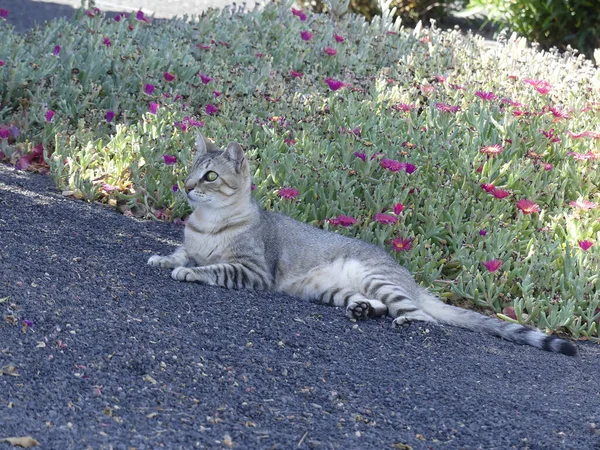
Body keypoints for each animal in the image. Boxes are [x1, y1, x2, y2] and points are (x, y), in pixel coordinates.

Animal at [146, 134, 576, 356]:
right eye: (190, 170)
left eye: (210, 176)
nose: (186, 186)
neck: (207, 224)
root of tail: (411, 279)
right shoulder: (195, 245)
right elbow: (181, 252)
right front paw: (162, 257)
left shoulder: (253, 270)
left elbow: (212, 267)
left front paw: (187, 271)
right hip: (328, 290)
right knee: (377, 305)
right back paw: (362, 311)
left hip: (376, 279)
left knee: (426, 318)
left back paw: (404, 320)